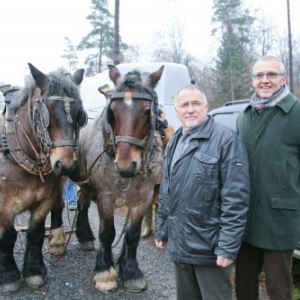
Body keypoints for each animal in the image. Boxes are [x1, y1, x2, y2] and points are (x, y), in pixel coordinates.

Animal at [0, 63, 88, 292]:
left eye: (79, 115)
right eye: (45, 113)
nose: (66, 163)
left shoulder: (43, 201)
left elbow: (35, 233)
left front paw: (34, 270)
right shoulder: (3, 207)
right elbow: (7, 237)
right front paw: (9, 275)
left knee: (58, 205)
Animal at [69, 64, 164, 292]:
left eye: (147, 112)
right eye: (112, 111)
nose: (125, 166)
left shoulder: (144, 199)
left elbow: (132, 235)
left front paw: (130, 271)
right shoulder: (105, 198)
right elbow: (107, 234)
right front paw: (105, 272)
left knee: (83, 202)